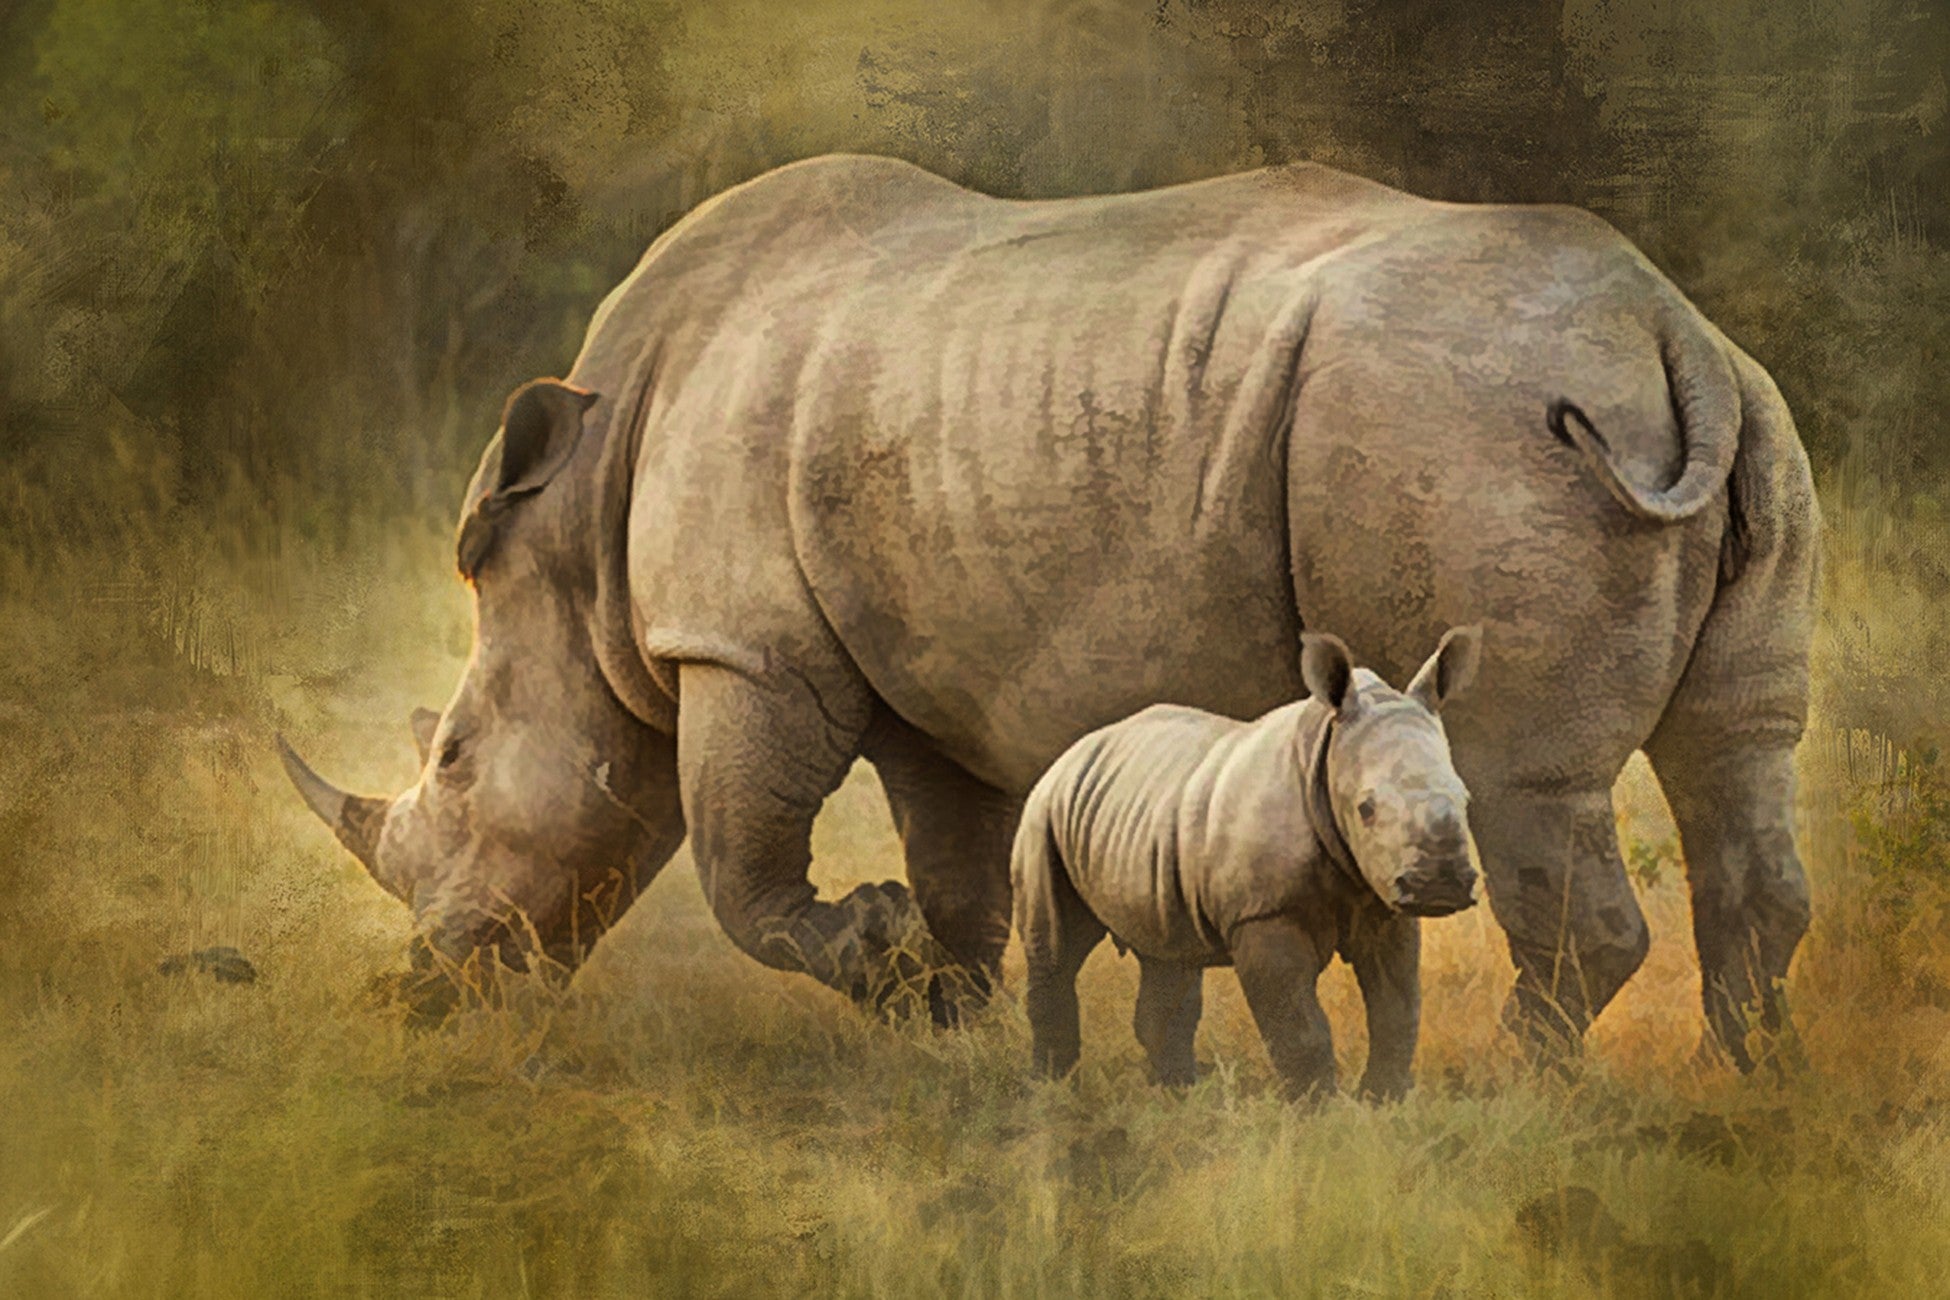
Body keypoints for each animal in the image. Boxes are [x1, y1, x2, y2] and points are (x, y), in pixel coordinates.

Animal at [1014, 628, 1482, 1100]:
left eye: (1466, 801)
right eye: (1366, 809)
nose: (1439, 884)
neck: (1326, 752)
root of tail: (1072, 753)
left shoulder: (1382, 901)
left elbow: (1397, 1008)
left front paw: (1382, 1100)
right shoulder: (1263, 913)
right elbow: (1299, 1026)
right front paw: (1318, 1109)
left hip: (1147, 811)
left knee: (1168, 955)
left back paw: (1180, 1094)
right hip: (1045, 811)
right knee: (1057, 949)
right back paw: (1051, 1090)